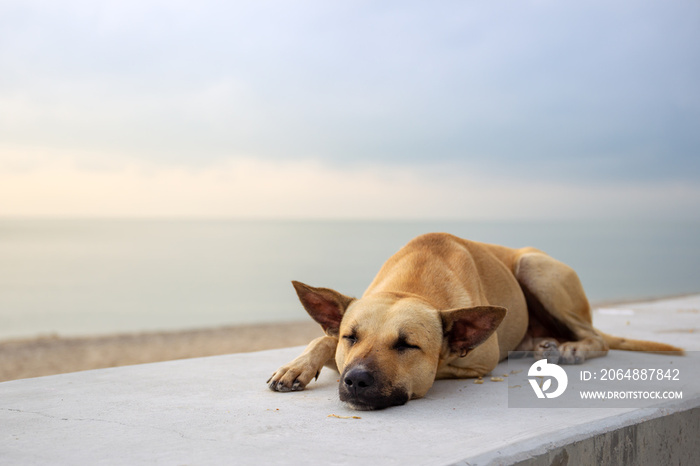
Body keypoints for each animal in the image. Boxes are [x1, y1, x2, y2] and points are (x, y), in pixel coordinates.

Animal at [266, 231, 680, 410]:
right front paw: (298, 365)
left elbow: (445, 360)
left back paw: (570, 347)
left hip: (535, 267)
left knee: (598, 338)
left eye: (407, 345)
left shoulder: (479, 360)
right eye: (351, 337)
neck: (412, 286)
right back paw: (541, 343)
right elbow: (323, 339)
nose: (355, 379)